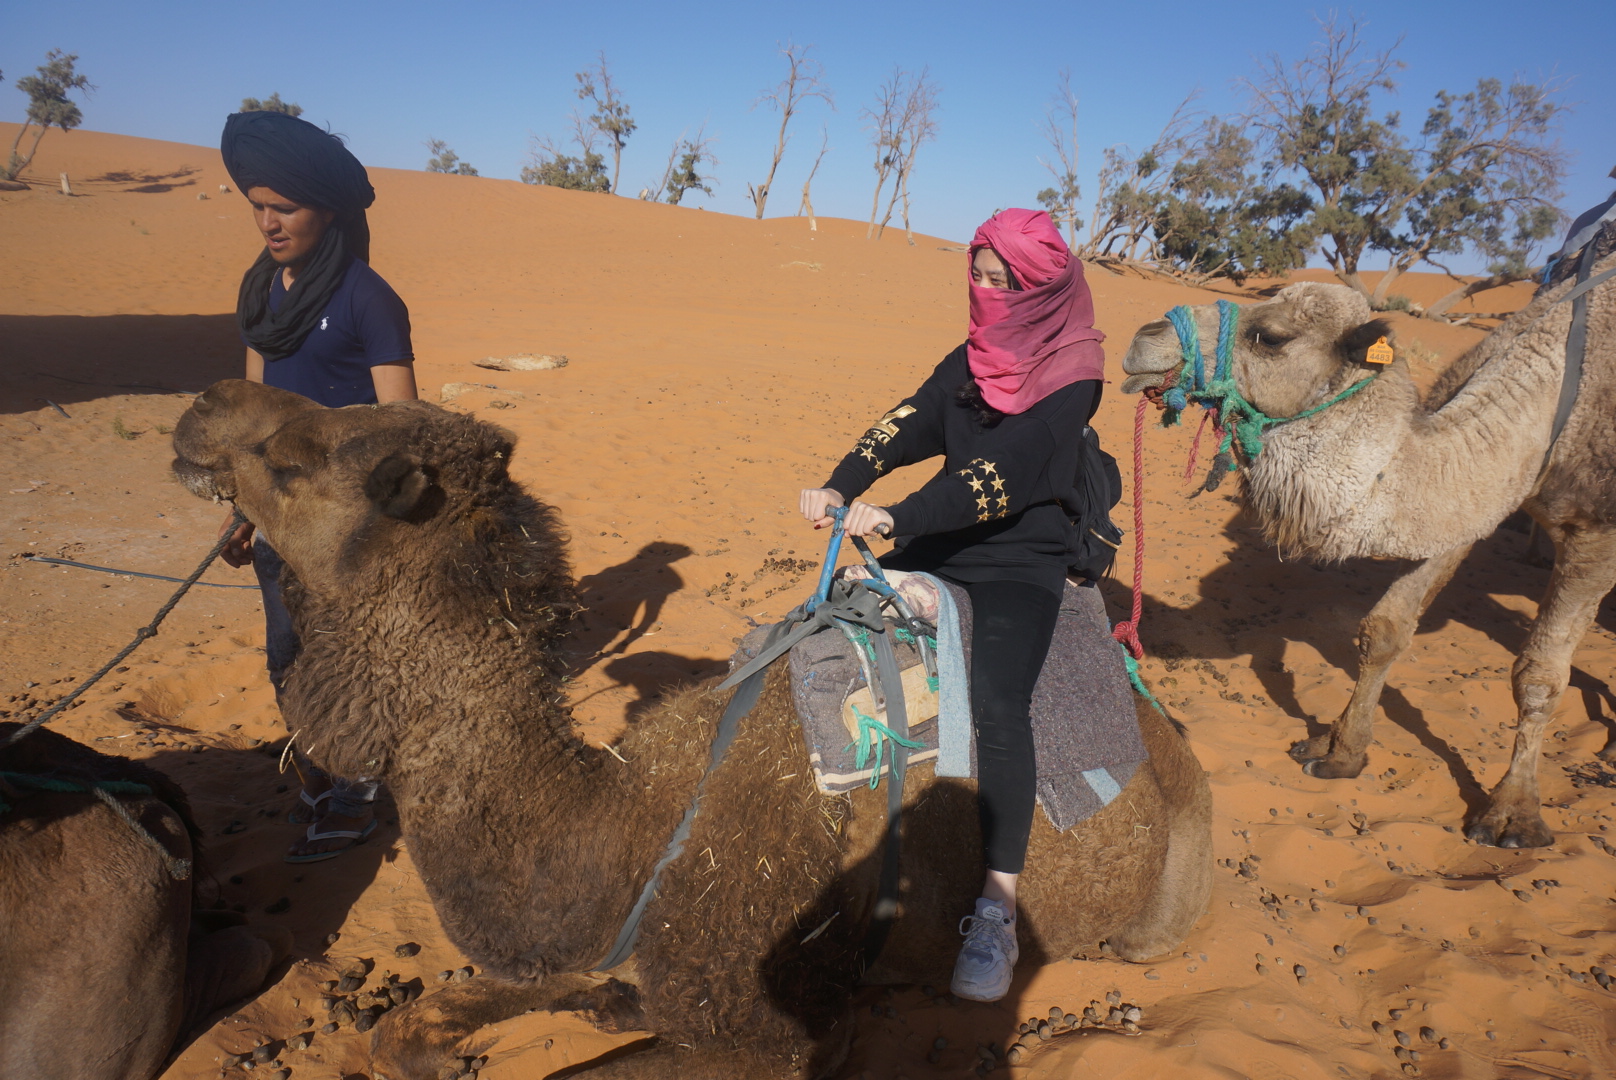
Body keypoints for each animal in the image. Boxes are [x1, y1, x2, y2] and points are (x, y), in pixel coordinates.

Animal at [1124, 265, 1616, 847]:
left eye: (1271, 336)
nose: (1143, 338)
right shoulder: (1473, 505)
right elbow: (1384, 631)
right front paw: (1339, 753)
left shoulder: (1596, 536)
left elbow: (1539, 675)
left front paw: (1512, 812)